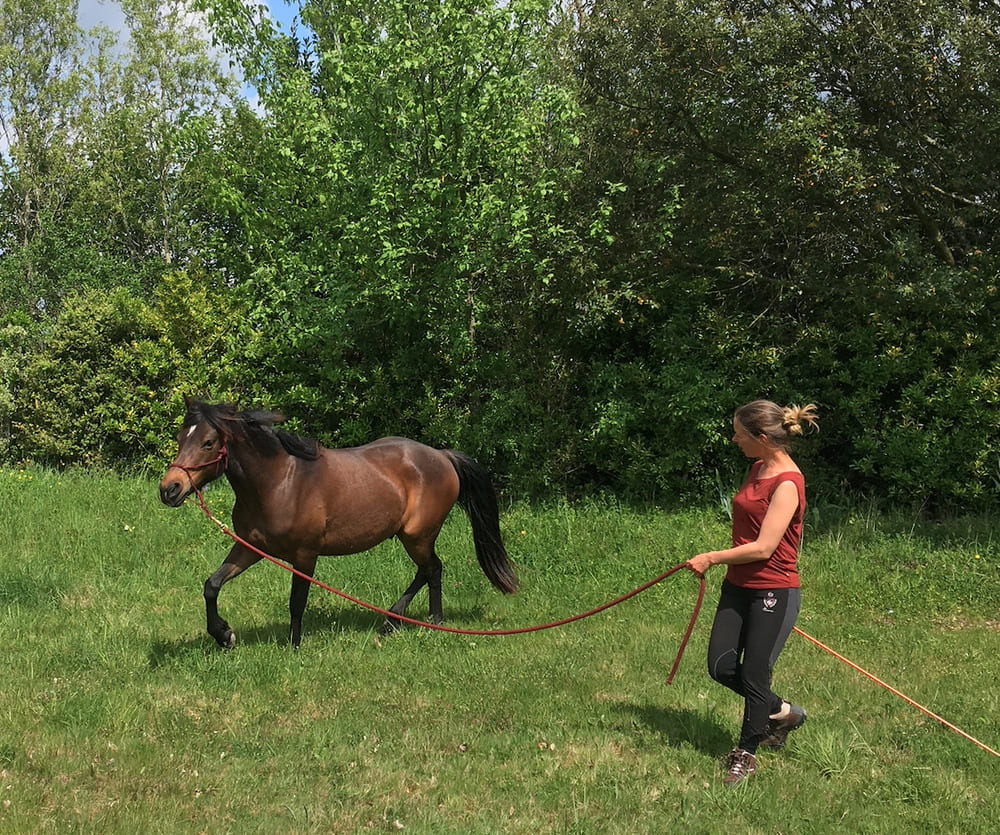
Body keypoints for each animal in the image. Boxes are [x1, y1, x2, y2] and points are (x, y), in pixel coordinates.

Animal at [160, 402, 520, 648]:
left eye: (208, 442)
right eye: (180, 437)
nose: (169, 489)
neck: (279, 483)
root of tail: (443, 456)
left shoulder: (305, 554)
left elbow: (297, 601)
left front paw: (293, 646)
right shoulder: (252, 547)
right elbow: (212, 585)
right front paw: (224, 635)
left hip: (417, 535)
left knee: (432, 568)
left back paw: (423, 620)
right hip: (413, 536)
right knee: (428, 570)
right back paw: (403, 621)